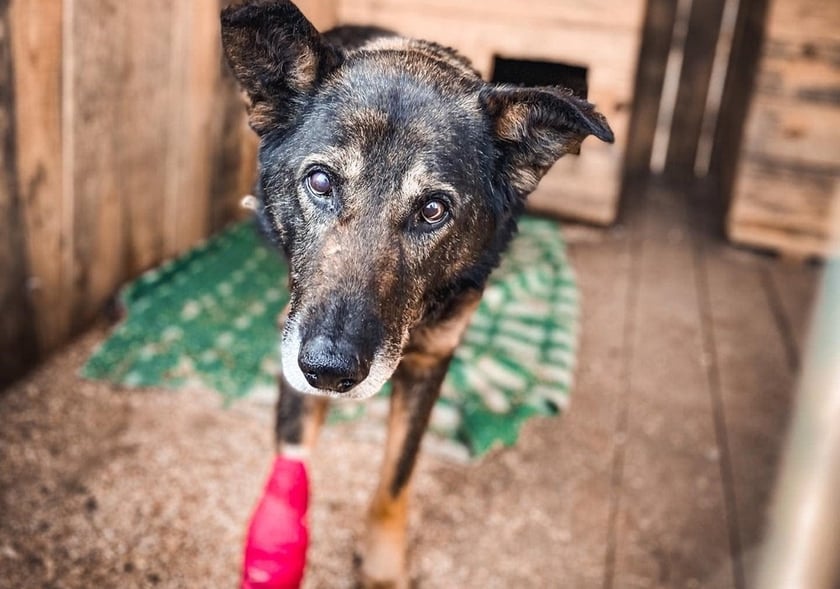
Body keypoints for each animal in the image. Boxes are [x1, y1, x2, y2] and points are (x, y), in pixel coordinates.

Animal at [220, 2, 612, 584]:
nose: (329, 371)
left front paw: (383, 564)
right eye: (320, 182)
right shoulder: (299, 340)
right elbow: (294, 443)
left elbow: (397, 473)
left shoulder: (431, 361)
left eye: (432, 210)